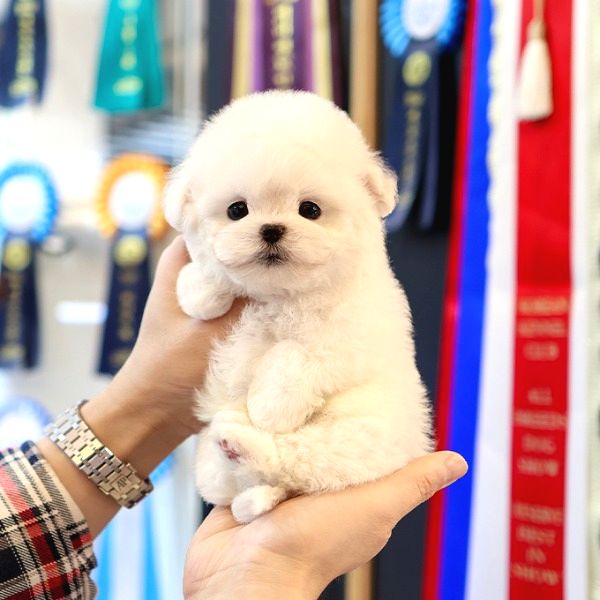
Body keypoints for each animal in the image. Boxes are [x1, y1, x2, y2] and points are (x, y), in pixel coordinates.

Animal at [164, 90, 432, 523]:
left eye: (310, 210)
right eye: (237, 210)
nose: (271, 229)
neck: (282, 295)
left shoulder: (353, 334)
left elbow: (295, 353)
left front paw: (269, 407)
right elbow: (211, 274)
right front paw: (201, 291)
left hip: (357, 436)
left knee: (292, 462)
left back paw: (242, 442)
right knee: (233, 484)